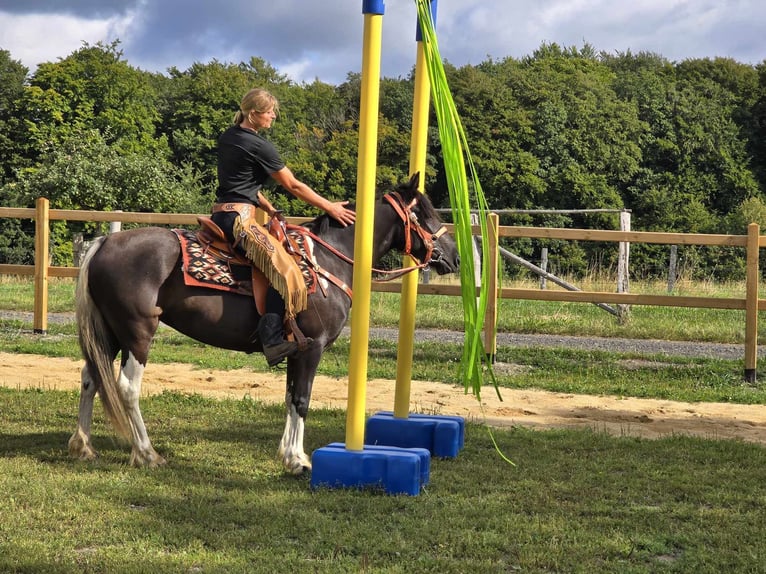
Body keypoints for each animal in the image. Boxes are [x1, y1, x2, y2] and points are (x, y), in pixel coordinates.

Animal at [69, 173, 460, 474]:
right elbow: (302, 399)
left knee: (91, 377)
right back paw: (146, 453)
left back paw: (83, 445)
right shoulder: (313, 346)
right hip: (137, 332)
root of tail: (105, 242)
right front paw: (299, 461)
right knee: (126, 386)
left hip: (109, 332)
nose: (454, 257)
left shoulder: (296, 348)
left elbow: (290, 397)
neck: (328, 259)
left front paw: (289, 454)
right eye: (423, 213)